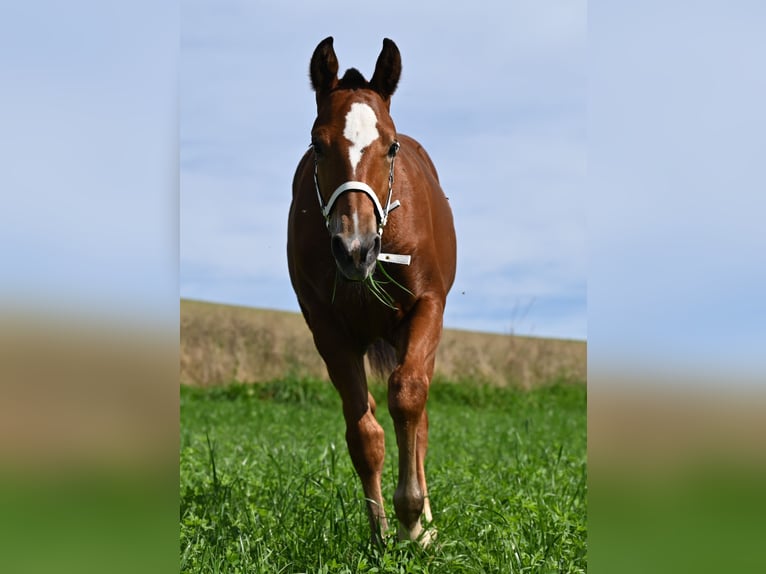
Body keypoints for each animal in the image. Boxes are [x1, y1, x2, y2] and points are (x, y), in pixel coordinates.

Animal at [286, 38, 456, 548]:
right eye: (317, 144)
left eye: (391, 145)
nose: (355, 249)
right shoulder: (328, 329)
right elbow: (363, 431)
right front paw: (381, 531)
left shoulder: (427, 307)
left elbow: (408, 397)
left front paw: (412, 518)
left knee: (418, 414)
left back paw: (426, 524)